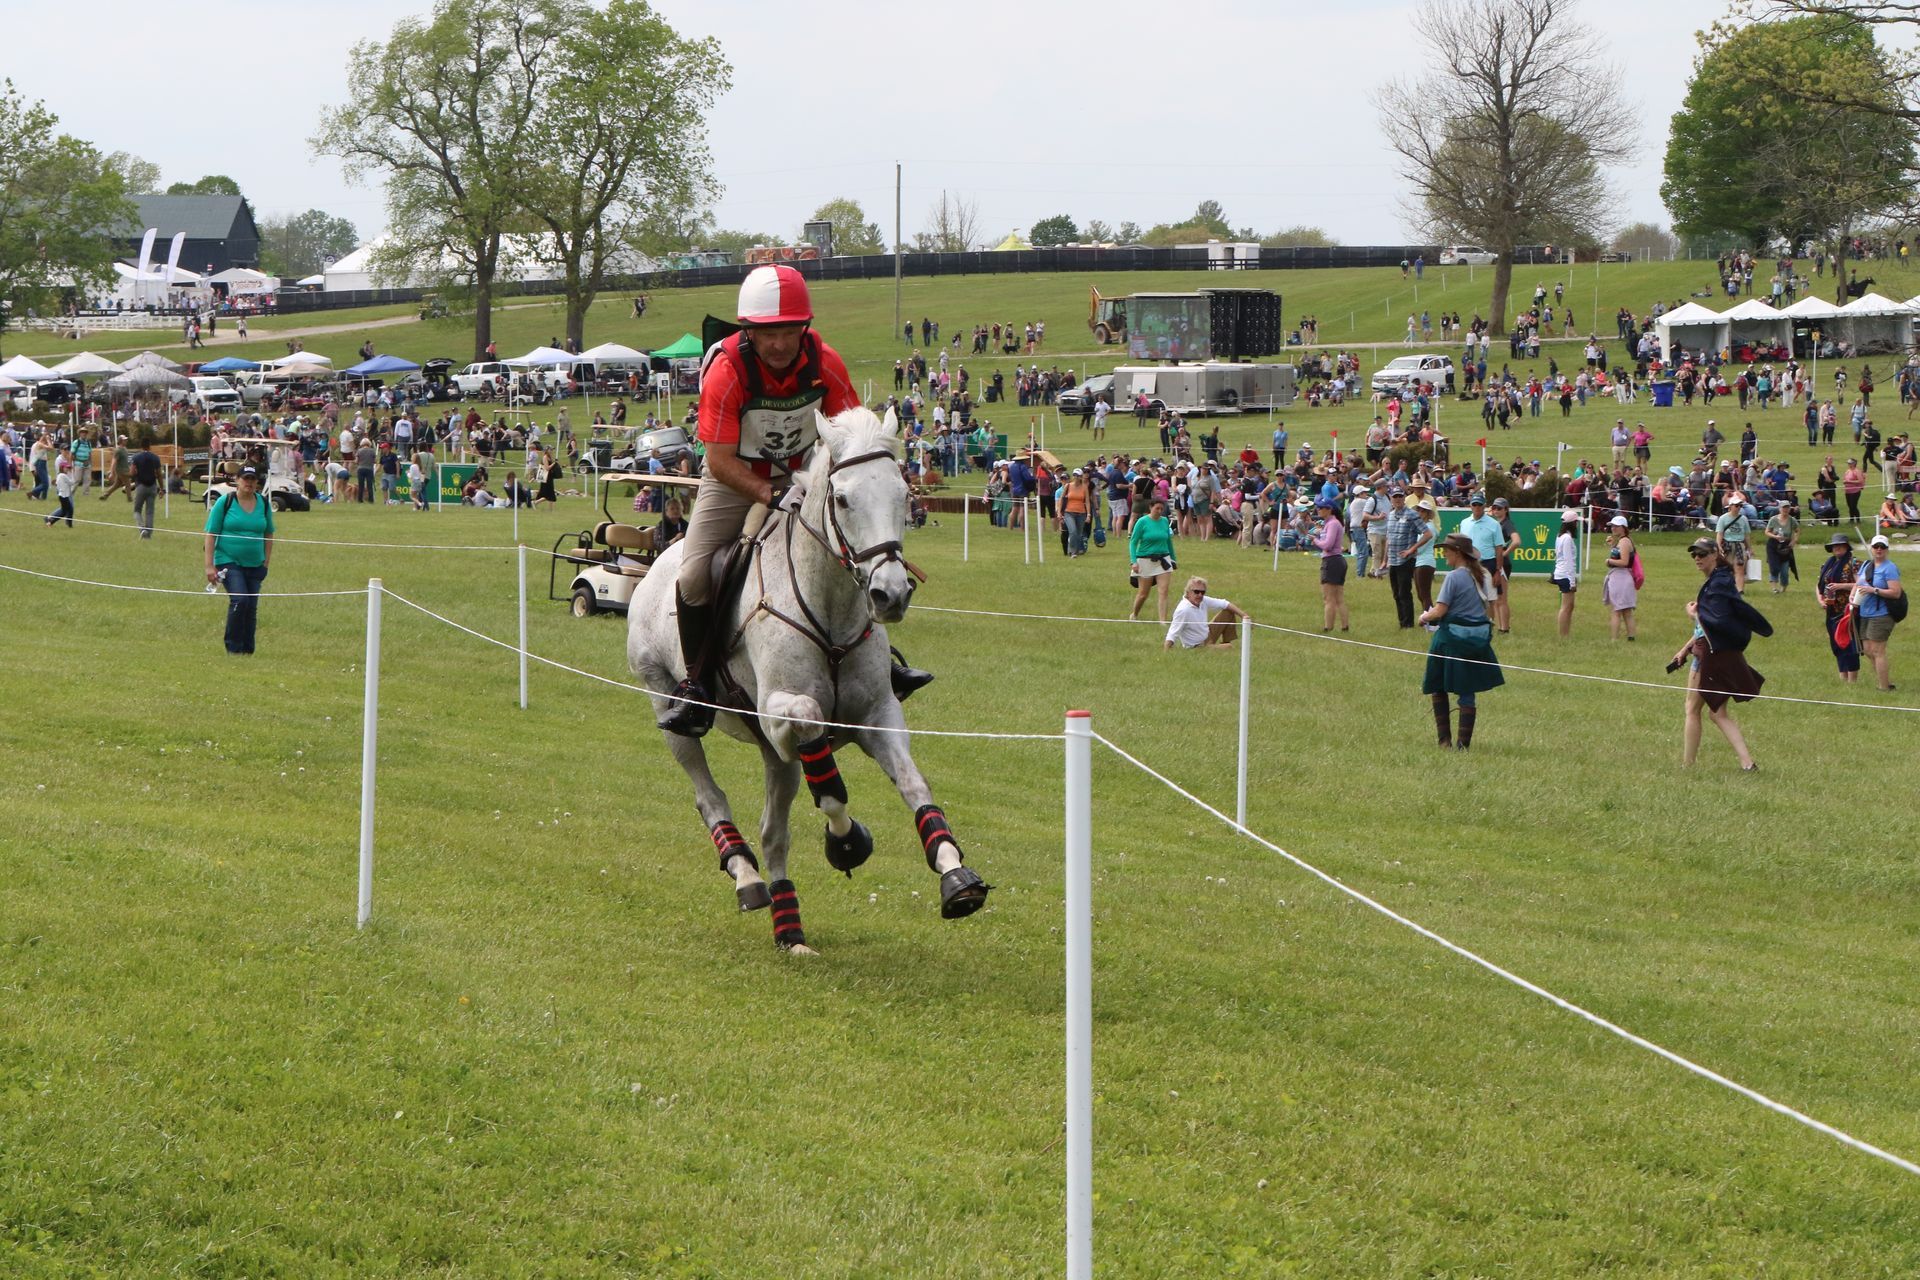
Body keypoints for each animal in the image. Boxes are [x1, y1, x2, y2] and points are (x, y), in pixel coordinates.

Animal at [629, 404, 990, 955]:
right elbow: (824, 761)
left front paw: (956, 876)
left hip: (776, 760)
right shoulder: (780, 712)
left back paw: (789, 931)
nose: (891, 594)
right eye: (842, 500)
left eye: (904, 495)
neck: (832, 605)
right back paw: (746, 876)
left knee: (773, 831)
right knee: (709, 792)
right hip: (664, 697)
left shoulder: (878, 716)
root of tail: (657, 563)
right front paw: (847, 842)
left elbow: (913, 783)